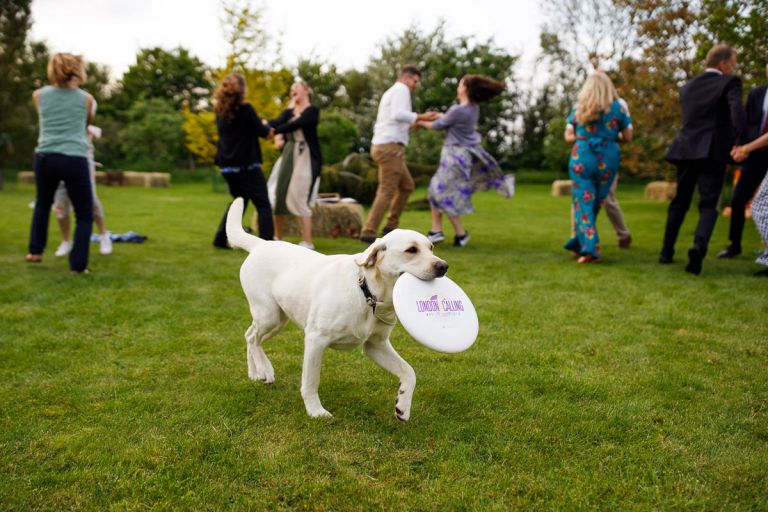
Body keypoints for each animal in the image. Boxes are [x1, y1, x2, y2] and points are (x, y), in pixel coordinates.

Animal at [225, 197, 448, 420]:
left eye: (431, 248)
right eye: (411, 250)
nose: (443, 266)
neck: (368, 293)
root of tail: (260, 244)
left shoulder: (375, 345)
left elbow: (409, 371)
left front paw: (403, 405)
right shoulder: (315, 339)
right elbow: (311, 381)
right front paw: (316, 411)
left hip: (279, 319)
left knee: (250, 335)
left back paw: (255, 373)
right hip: (269, 315)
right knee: (254, 338)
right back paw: (265, 369)